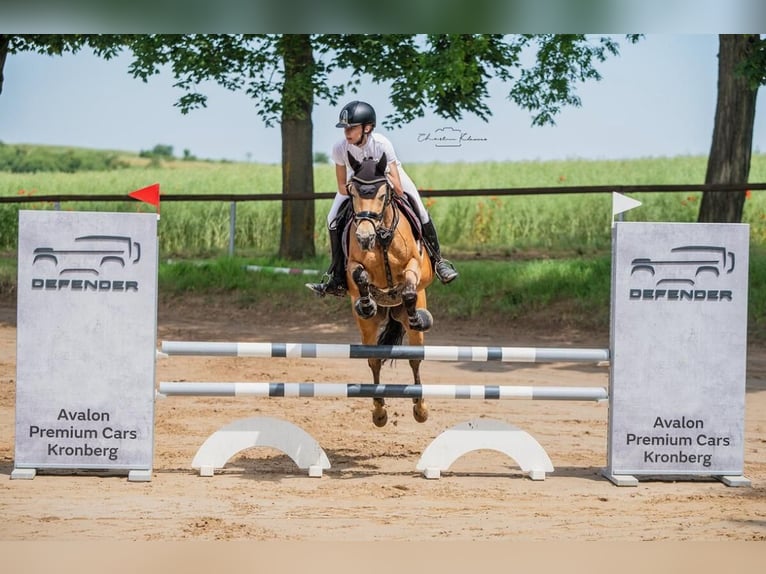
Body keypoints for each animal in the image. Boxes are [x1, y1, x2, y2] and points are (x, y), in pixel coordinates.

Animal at [344, 153, 436, 428]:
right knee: (374, 360)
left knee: (414, 358)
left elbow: (408, 288)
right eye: (352, 193)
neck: (382, 235)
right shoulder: (352, 265)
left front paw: (415, 311)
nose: (364, 237)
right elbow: (359, 275)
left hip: (413, 330)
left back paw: (420, 409)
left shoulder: (415, 264)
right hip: (368, 329)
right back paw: (379, 412)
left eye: (383, 194)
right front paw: (366, 303)